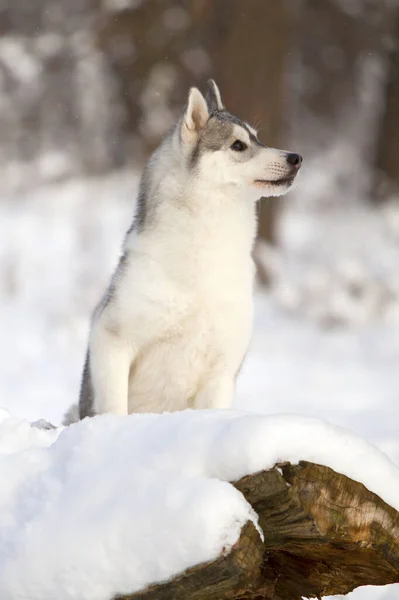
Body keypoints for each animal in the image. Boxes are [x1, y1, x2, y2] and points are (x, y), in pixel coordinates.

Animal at [73, 81, 302, 422]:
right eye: (238, 145)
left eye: (257, 138)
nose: (296, 158)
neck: (207, 254)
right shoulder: (111, 340)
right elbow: (115, 407)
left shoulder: (222, 370)